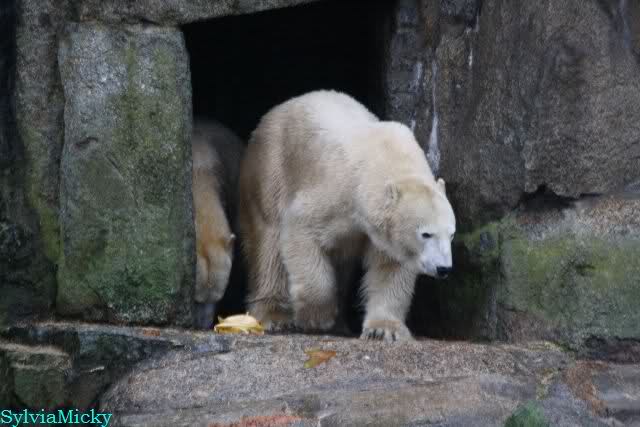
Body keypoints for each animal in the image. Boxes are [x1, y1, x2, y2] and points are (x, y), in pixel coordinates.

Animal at [238, 90, 456, 341]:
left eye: (451, 234)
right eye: (426, 234)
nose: (444, 269)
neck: (383, 155)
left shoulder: (380, 231)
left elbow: (389, 267)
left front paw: (383, 329)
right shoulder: (335, 191)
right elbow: (300, 230)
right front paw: (315, 317)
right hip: (271, 170)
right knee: (268, 242)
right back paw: (274, 316)